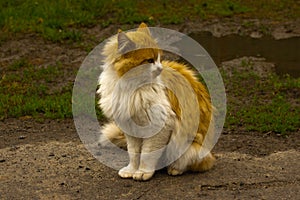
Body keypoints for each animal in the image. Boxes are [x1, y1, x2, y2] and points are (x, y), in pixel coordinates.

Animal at [97, 22, 214, 180]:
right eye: (149, 60)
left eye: (158, 58)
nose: (160, 68)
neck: (130, 87)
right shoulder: (130, 128)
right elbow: (134, 154)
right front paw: (131, 170)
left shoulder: (160, 125)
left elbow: (147, 154)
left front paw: (143, 172)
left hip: (188, 147)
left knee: (194, 162)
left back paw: (174, 169)